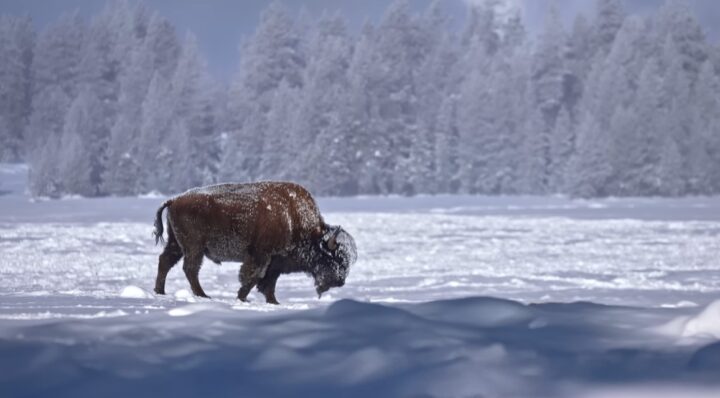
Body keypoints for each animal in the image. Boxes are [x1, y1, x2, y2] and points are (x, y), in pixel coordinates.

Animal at [153, 182, 358, 304]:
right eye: (334, 259)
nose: (340, 282)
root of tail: (174, 200)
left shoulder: (275, 263)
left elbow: (268, 283)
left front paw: (274, 302)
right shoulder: (261, 256)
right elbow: (253, 277)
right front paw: (242, 298)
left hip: (177, 245)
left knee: (165, 261)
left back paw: (160, 291)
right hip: (194, 248)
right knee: (190, 269)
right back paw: (202, 295)